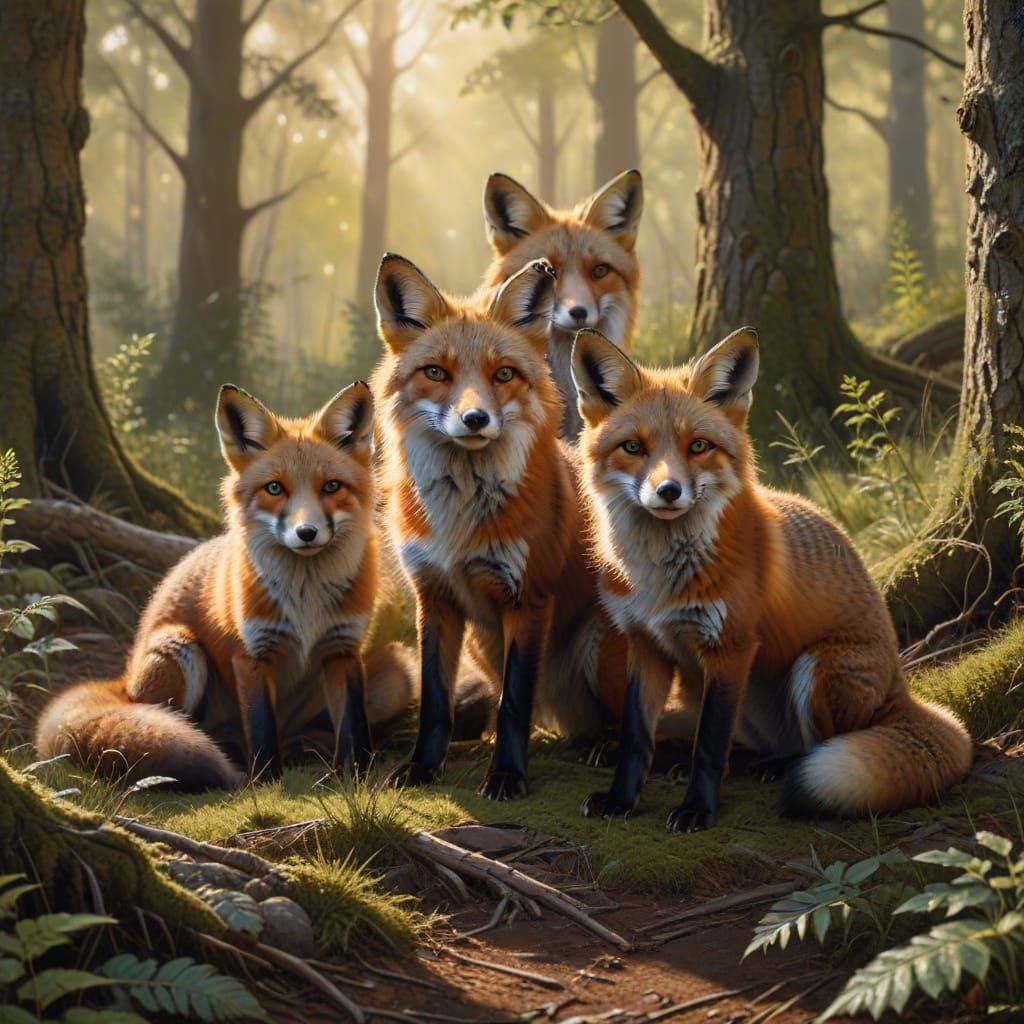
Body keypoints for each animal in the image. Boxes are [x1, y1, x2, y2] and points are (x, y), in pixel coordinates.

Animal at [35, 383, 414, 790]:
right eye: (275, 488)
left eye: (331, 487)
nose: (307, 533)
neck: (305, 601)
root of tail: (124, 680)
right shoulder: (251, 655)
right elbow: (262, 733)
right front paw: (266, 783)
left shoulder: (343, 651)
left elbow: (353, 728)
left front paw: (354, 777)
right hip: (181, 649)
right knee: (178, 725)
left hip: (400, 674)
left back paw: (305, 748)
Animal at [371, 254, 627, 799]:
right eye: (436, 372)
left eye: (503, 373)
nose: (475, 418)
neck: (461, 520)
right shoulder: (435, 598)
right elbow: (435, 701)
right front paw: (423, 766)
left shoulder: (528, 600)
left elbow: (513, 704)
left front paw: (508, 775)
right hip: (483, 643)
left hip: (597, 643)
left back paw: (607, 747)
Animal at [570, 326, 973, 830]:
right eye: (633, 447)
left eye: (698, 446)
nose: (668, 491)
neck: (658, 579)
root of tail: (901, 682)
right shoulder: (646, 646)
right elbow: (635, 738)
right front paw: (621, 799)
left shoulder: (732, 646)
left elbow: (709, 747)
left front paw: (697, 809)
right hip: (718, 690)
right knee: (734, 746)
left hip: (814, 670)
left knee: (811, 745)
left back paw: (779, 769)